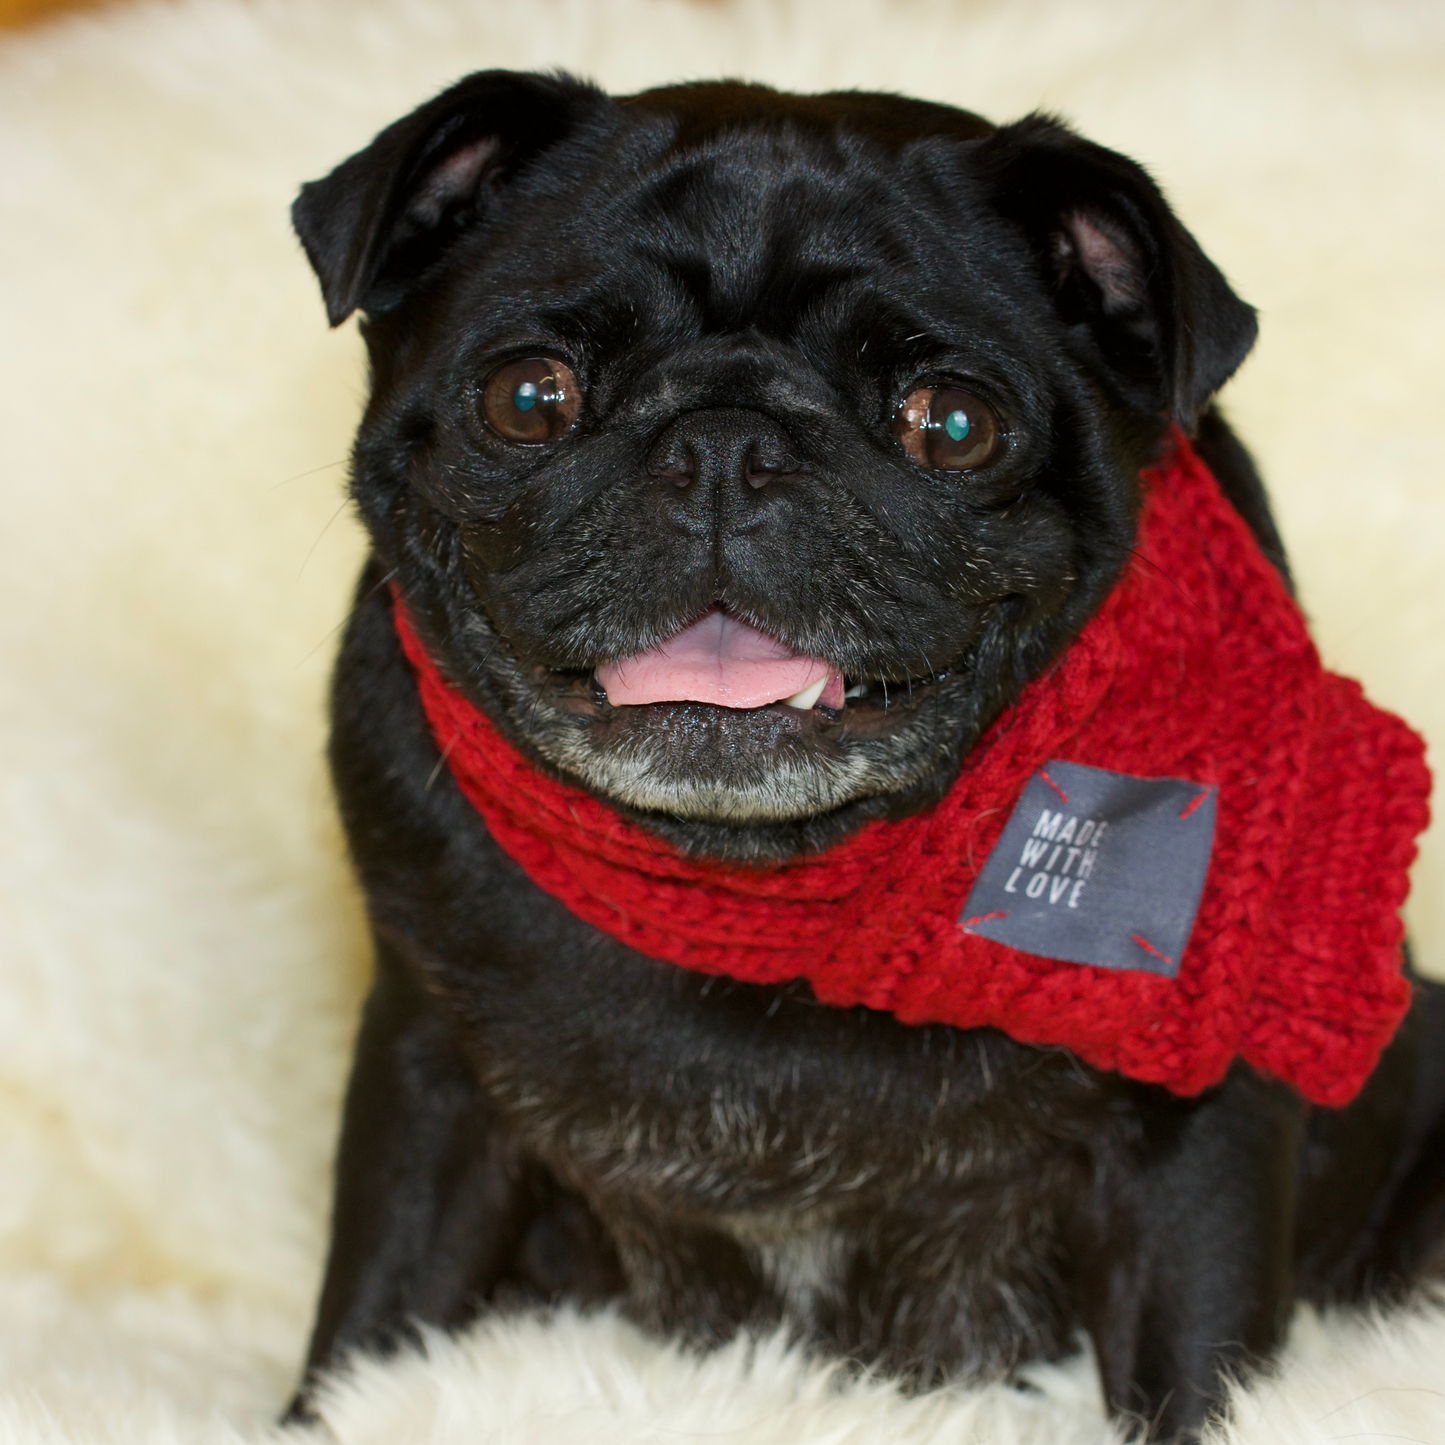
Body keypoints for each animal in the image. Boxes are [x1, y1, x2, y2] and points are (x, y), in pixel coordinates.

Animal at [284, 76, 1445, 1433]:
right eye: (529, 397)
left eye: (954, 424)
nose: (724, 447)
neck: (755, 887)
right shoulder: (429, 1073)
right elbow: (375, 1312)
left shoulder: (1194, 1138)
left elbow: (1192, 1363)